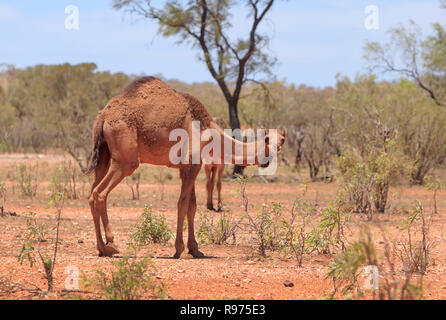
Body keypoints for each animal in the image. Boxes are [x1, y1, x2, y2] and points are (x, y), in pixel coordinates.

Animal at [87, 77, 288, 258]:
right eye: (267, 138)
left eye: (282, 140)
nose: (273, 153)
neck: (210, 131)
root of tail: (104, 116)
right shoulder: (193, 163)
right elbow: (182, 204)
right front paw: (180, 249)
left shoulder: (186, 167)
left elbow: (192, 206)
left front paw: (195, 249)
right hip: (125, 160)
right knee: (100, 193)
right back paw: (111, 243)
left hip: (103, 156)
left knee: (91, 194)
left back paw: (102, 249)